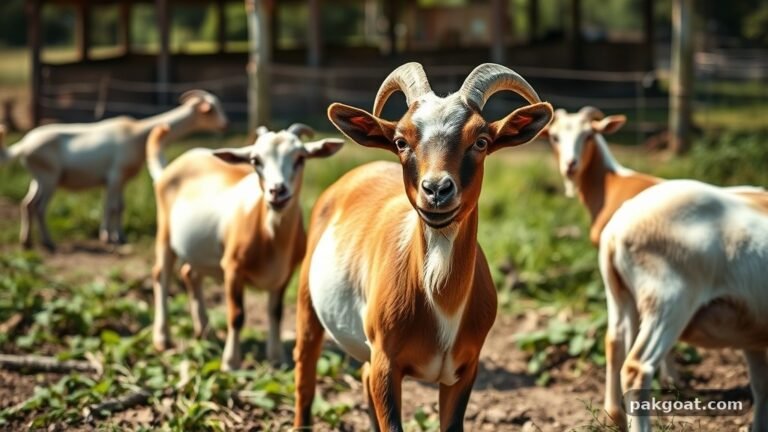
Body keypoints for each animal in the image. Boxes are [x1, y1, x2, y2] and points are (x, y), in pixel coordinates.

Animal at [0, 90, 228, 251]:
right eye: (211, 110)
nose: (224, 125)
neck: (138, 134)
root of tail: (23, 145)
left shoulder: (121, 180)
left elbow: (119, 207)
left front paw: (120, 236)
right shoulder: (115, 176)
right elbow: (111, 207)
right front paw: (109, 238)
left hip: (37, 178)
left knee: (27, 204)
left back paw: (26, 242)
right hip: (49, 178)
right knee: (39, 207)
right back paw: (48, 243)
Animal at [146, 123, 343, 370]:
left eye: (300, 158)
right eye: (255, 160)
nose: (277, 191)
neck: (271, 237)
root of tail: (169, 168)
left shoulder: (286, 273)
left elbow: (276, 312)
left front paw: (277, 359)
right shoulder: (232, 268)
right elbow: (237, 315)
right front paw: (231, 363)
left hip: (199, 252)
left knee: (189, 273)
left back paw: (206, 332)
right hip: (164, 233)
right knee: (161, 275)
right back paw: (163, 339)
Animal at [293, 63, 553, 430]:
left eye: (481, 141)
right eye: (401, 141)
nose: (437, 190)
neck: (441, 301)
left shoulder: (465, 369)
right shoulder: (387, 362)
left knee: (362, 376)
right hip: (307, 303)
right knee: (305, 373)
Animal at [600, 180, 768, 431]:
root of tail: (616, 230)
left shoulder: (752, 338)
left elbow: (761, 387)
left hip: (620, 297)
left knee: (614, 343)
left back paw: (616, 417)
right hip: (669, 299)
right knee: (636, 368)